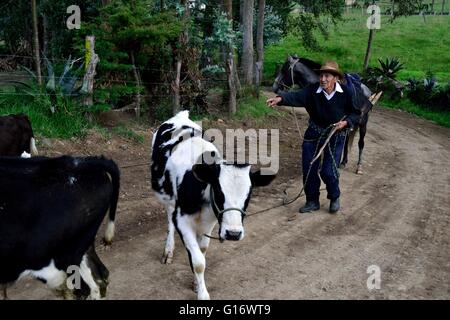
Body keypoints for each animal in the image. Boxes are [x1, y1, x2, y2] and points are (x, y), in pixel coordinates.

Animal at [151, 110, 276, 300]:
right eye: (218, 192)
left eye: (249, 195)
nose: (233, 233)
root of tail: (180, 116)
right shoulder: (182, 219)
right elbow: (198, 262)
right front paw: (203, 294)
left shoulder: (211, 219)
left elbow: (202, 250)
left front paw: (196, 283)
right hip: (167, 197)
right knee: (169, 219)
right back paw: (168, 251)